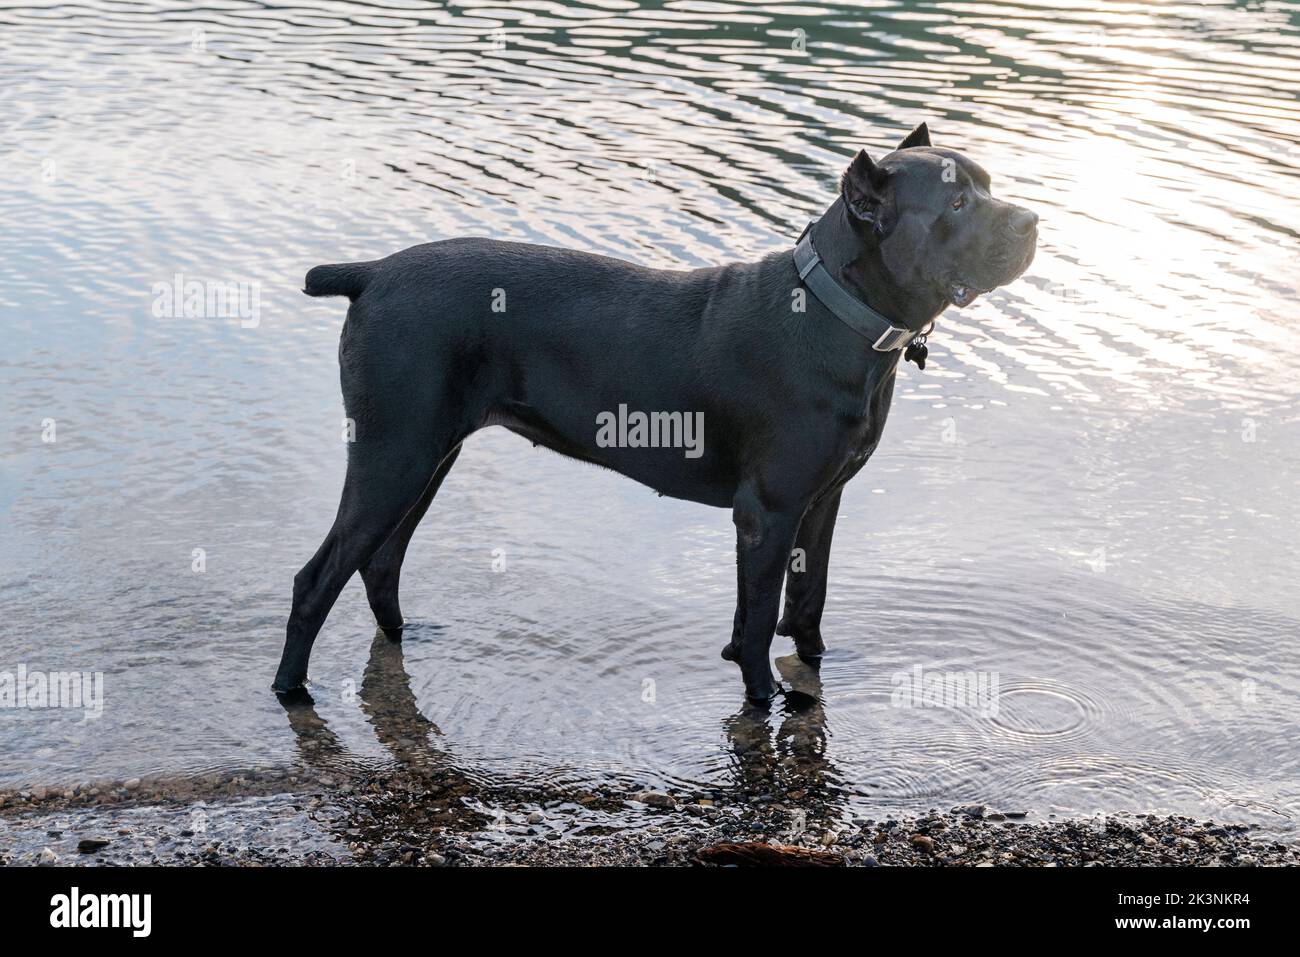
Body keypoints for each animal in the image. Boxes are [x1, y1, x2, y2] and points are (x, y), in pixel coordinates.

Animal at [274, 121, 1034, 702]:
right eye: (956, 202)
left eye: (987, 186)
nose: (1031, 220)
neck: (836, 312)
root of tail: (372, 272)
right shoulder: (770, 510)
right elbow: (759, 622)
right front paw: (767, 698)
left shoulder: (820, 503)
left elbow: (803, 602)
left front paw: (813, 670)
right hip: (394, 455)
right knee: (317, 578)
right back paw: (292, 691)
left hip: (426, 457)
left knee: (380, 561)